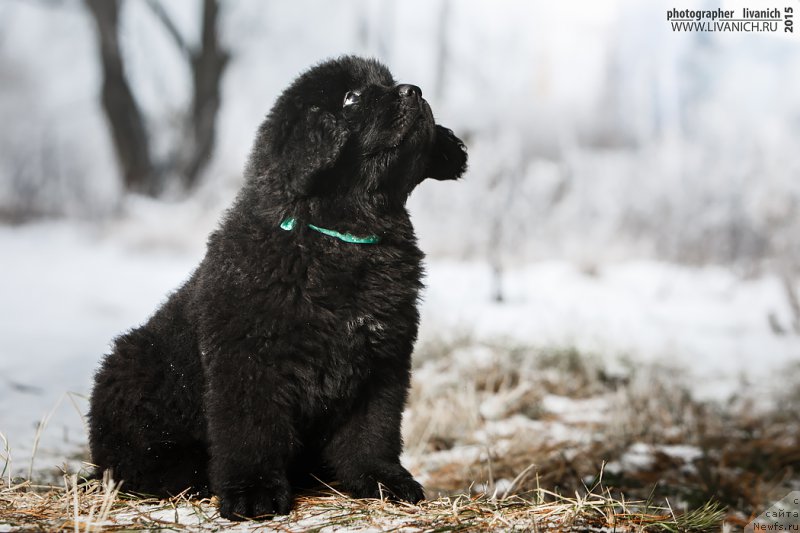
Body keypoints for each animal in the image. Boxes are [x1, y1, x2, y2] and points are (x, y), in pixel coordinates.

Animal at [86, 55, 466, 520]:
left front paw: (381, 480)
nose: (414, 91)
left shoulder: (382, 362)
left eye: (389, 83)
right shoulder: (249, 361)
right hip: (129, 373)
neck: (341, 236)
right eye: (351, 97)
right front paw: (254, 494)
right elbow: (253, 432)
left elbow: (373, 432)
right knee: (132, 463)